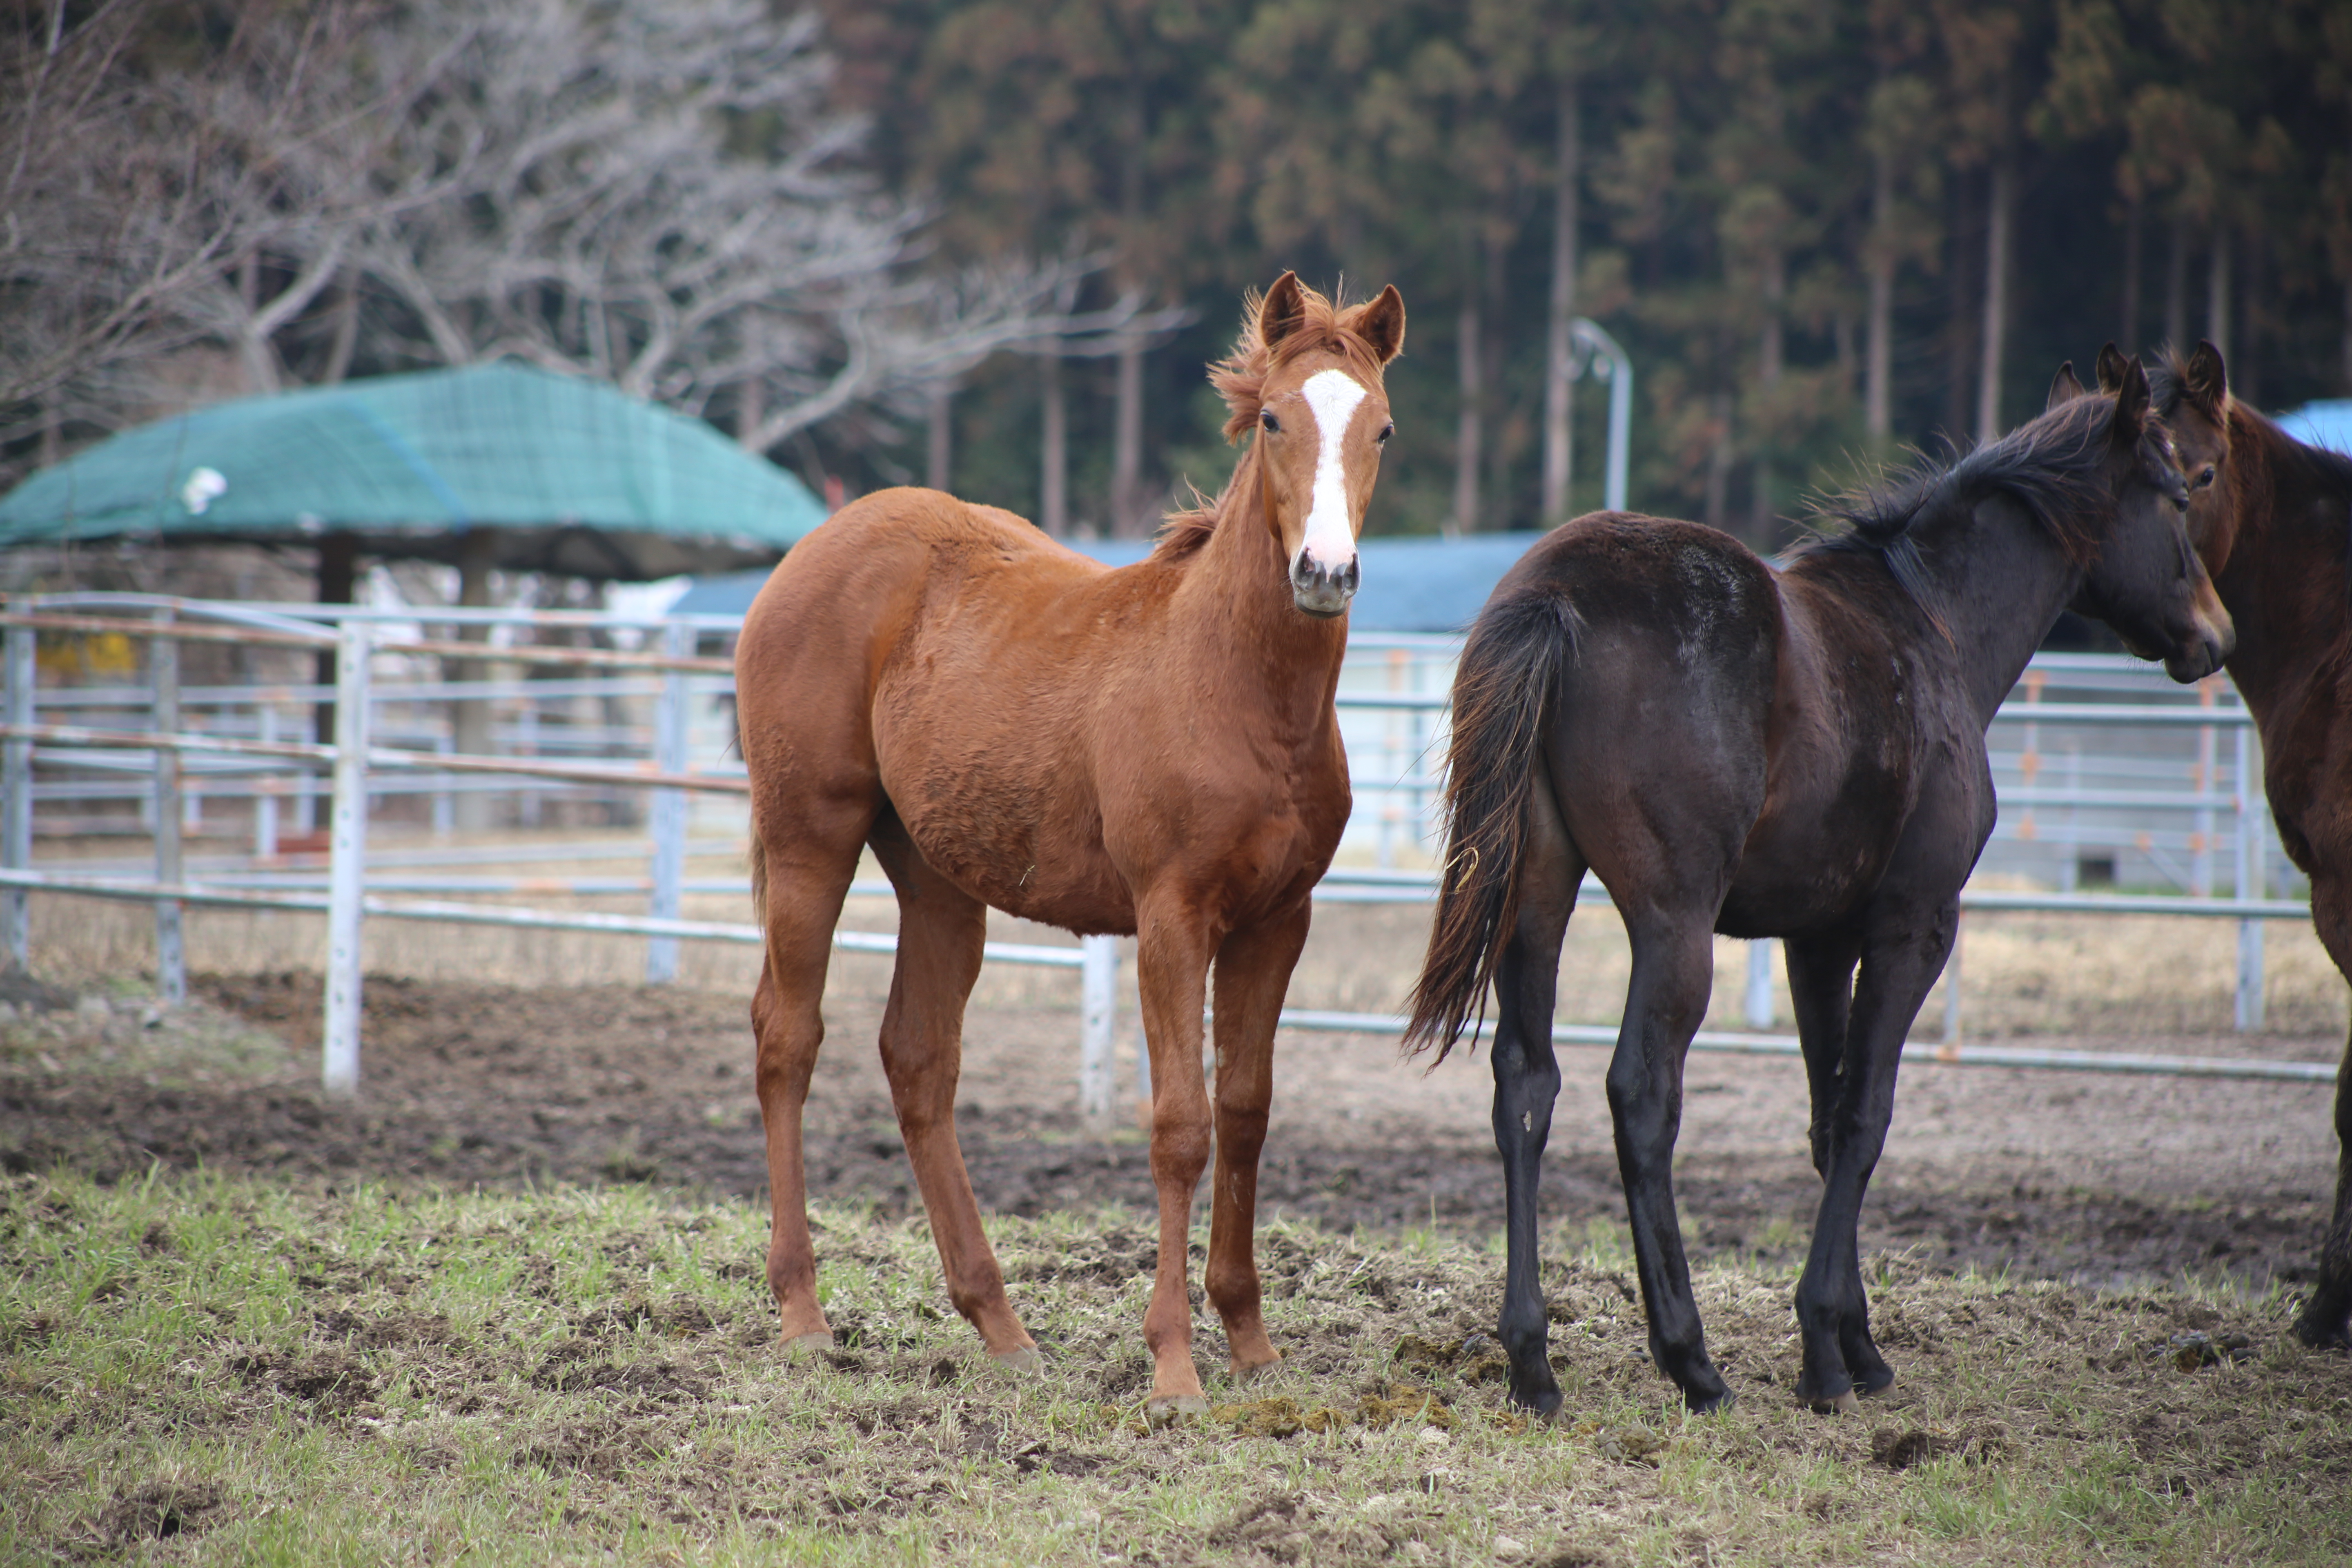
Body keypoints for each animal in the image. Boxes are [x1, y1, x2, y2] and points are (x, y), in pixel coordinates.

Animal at [734, 272, 1392, 1420]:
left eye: (1382, 429)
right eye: (1273, 418)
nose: (1324, 571)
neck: (1236, 686)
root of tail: (813, 545)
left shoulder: (1278, 921)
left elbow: (1246, 1110)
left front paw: (1251, 1342)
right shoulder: (1171, 917)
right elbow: (1179, 1124)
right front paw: (1173, 1367)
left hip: (938, 880)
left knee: (918, 1058)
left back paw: (1000, 1326)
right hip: (811, 839)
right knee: (788, 1038)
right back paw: (805, 1315)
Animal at [1401, 369, 2230, 1420]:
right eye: (2178, 492)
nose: (2214, 635)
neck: (1931, 625)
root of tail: (1555, 592)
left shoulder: (1816, 941)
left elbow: (1825, 1118)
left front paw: (1849, 1343)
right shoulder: (1912, 927)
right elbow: (1865, 1116)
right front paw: (1831, 1351)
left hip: (1535, 901)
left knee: (1525, 1085)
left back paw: (1531, 1361)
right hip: (1672, 927)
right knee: (1641, 1094)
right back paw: (1691, 1360)